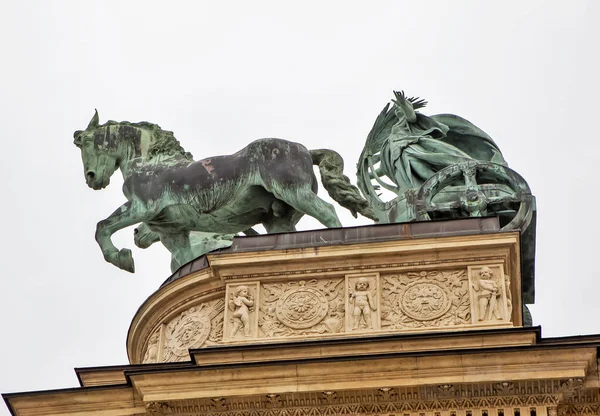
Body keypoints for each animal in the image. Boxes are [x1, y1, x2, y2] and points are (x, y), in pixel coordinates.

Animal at [74, 110, 376, 272]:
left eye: (86, 141)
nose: (92, 178)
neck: (151, 162)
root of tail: (305, 150)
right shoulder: (173, 232)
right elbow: (183, 259)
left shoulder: (140, 207)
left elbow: (103, 226)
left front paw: (122, 258)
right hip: (279, 219)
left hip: (295, 192)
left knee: (328, 212)